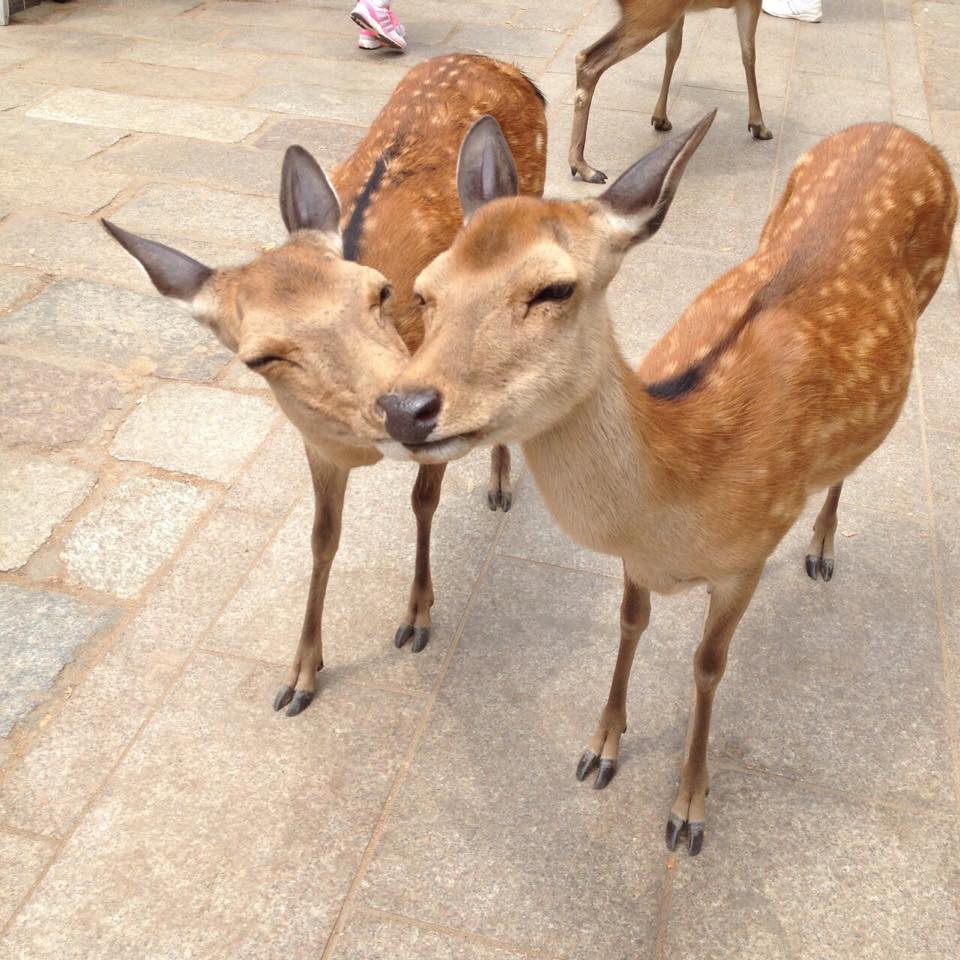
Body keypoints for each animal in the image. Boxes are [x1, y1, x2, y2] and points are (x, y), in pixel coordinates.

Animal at [102, 54, 547, 717]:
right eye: (260, 358)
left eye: (381, 290)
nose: (401, 408)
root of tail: (507, 66)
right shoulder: (316, 444)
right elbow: (321, 538)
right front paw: (300, 676)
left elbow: (423, 500)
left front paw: (417, 616)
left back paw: (498, 483)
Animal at [374, 114, 957, 853]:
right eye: (425, 289)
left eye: (554, 289)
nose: (404, 406)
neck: (678, 496)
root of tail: (896, 131)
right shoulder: (636, 561)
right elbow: (631, 623)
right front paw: (601, 747)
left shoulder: (748, 557)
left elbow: (708, 666)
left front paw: (687, 810)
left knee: (850, 465)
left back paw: (822, 549)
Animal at [569, 0, 771, 184]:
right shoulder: (751, 3)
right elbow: (749, 54)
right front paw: (759, 125)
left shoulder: (680, 13)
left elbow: (673, 49)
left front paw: (660, 118)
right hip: (652, 13)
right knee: (589, 62)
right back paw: (585, 168)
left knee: (583, 57)